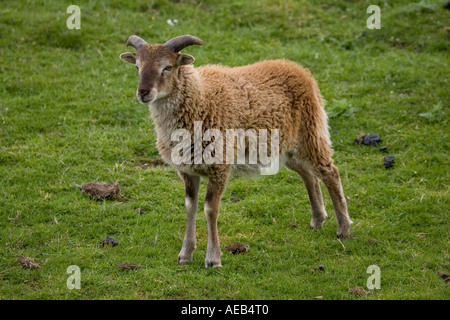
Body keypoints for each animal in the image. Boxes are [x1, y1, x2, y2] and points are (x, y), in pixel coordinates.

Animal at [121, 33, 354, 268]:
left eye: (167, 67)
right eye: (138, 67)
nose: (143, 93)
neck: (200, 98)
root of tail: (300, 70)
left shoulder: (219, 165)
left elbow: (210, 209)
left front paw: (213, 259)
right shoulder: (187, 170)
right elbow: (190, 206)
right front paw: (185, 254)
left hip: (311, 133)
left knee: (329, 172)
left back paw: (343, 229)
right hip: (284, 147)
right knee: (309, 175)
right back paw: (318, 219)